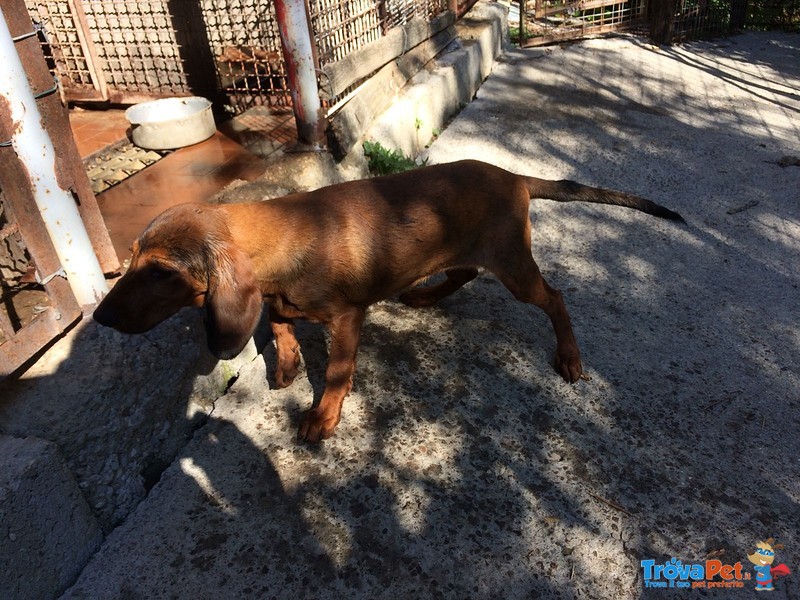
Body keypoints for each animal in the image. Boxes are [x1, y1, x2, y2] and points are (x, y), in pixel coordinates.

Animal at [94, 159, 680, 440]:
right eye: (131, 258)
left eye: (160, 271)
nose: (98, 317)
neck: (286, 236)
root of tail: (515, 177)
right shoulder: (279, 297)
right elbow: (279, 321)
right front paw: (286, 363)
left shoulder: (348, 316)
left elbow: (336, 371)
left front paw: (322, 416)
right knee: (464, 270)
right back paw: (423, 293)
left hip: (516, 267)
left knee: (554, 297)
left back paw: (570, 356)